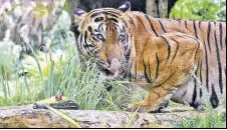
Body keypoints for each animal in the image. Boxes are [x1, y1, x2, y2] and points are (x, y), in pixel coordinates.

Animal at [72, 1, 226, 111]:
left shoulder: (189, 44)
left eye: (120, 37)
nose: (115, 63)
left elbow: (162, 87)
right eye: (99, 36)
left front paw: (145, 106)